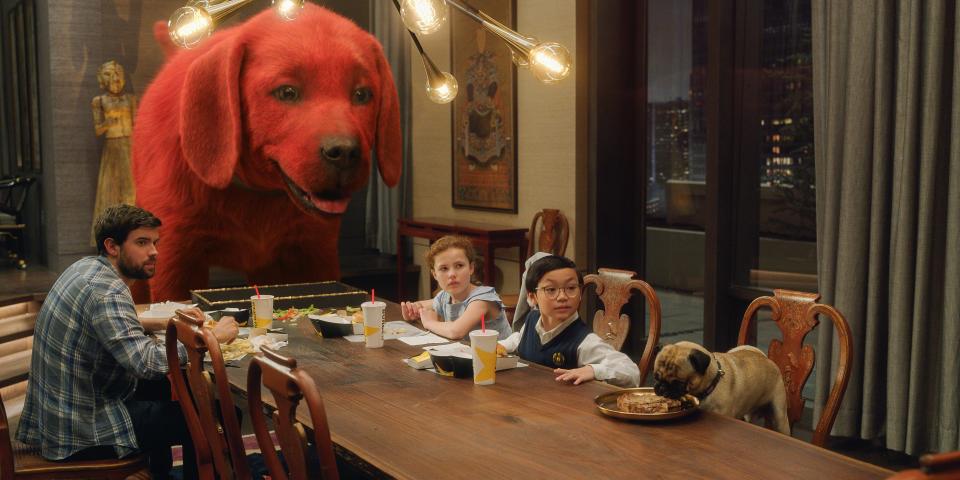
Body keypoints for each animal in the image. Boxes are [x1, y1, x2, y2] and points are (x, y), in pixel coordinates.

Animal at [131, 4, 398, 300]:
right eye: (287, 92)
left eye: (363, 95)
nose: (345, 152)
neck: (257, 196)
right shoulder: (174, 257)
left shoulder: (315, 251)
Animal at [656, 340, 792, 434]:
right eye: (656, 377)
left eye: (678, 383)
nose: (661, 388)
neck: (712, 383)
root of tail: (765, 358)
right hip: (750, 414)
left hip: (780, 416)